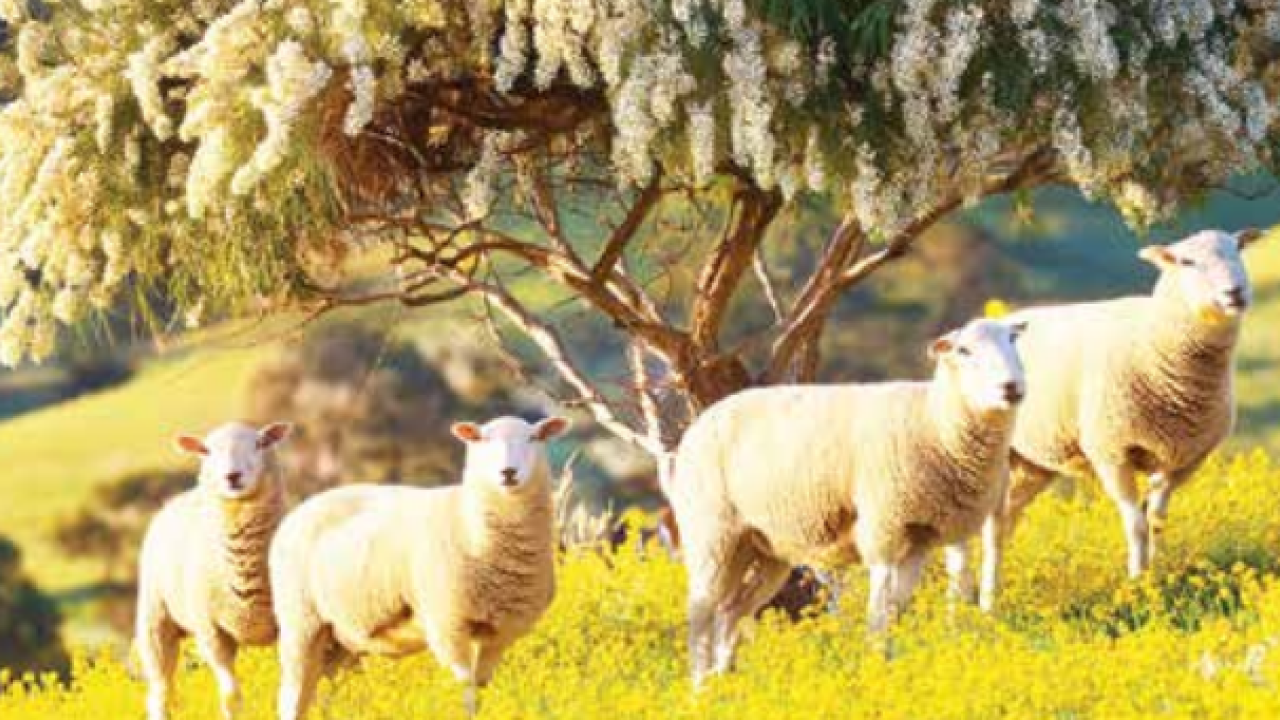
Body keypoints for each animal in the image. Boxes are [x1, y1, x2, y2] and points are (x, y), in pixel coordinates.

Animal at [135, 417, 294, 717]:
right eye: (206, 451)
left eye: (260, 443)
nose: (232, 476)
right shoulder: (211, 633)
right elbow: (231, 696)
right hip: (156, 622)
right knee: (160, 693)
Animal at [270, 412, 570, 712]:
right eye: (482, 440)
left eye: (534, 438)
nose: (508, 472)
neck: (467, 521)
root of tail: (302, 507)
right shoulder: (448, 626)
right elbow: (466, 690)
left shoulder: (500, 634)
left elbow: (480, 689)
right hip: (301, 621)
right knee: (292, 696)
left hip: (340, 637)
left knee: (322, 693)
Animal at [665, 316, 1024, 681]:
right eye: (964, 350)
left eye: (1013, 339)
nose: (1012, 388)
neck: (934, 421)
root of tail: (702, 420)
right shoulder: (883, 531)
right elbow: (879, 614)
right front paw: (876, 665)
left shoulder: (918, 538)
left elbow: (896, 609)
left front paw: (887, 664)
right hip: (711, 532)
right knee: (701, 613)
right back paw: (699, 686)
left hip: (761, 546)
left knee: (730, 611)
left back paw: (723, 682)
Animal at [972, 225, 1264, 604]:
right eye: (1186, 261)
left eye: (1237, 250)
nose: (1235, 292)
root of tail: (1003, 321)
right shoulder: (1112, 452)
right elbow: (1136, 524)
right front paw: (1138, 583)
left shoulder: (1184, 459)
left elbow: (1156, 520)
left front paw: (1158, 576)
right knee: (991, 527)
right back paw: (981, 603)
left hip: (1034, 463)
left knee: (1006, 520)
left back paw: (990, 597)